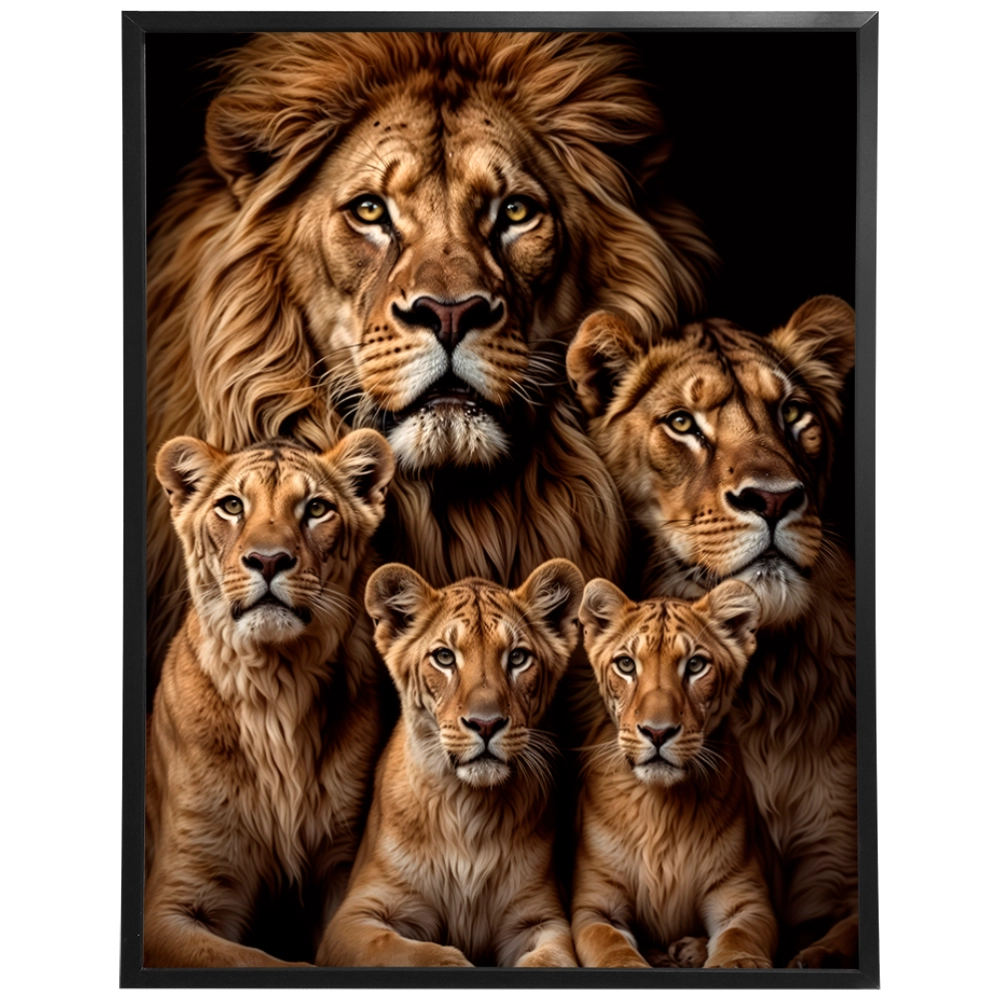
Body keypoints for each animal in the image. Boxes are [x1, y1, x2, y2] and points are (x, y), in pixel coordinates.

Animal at [144, 430, 394, 967]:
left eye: (316, 508)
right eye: (232, 506)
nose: (268, 560)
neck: (278, 685)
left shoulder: (341, 864)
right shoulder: (173, 903)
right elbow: (251, 959)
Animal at [317, 559, 584, 967]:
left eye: (517, 658)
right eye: (444, 657)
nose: (486, 724)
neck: (469, 806)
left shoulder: (540, 918)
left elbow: (549, 961)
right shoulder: (353, 917)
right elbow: (408, 951)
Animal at [574, 578, 778, 969]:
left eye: (696, 665)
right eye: (626, 665)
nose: (657, 732)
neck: (662, 808)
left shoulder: (744, 898)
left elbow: (740, 938)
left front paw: (732, 961)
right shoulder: (595, 905)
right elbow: (609, 944)